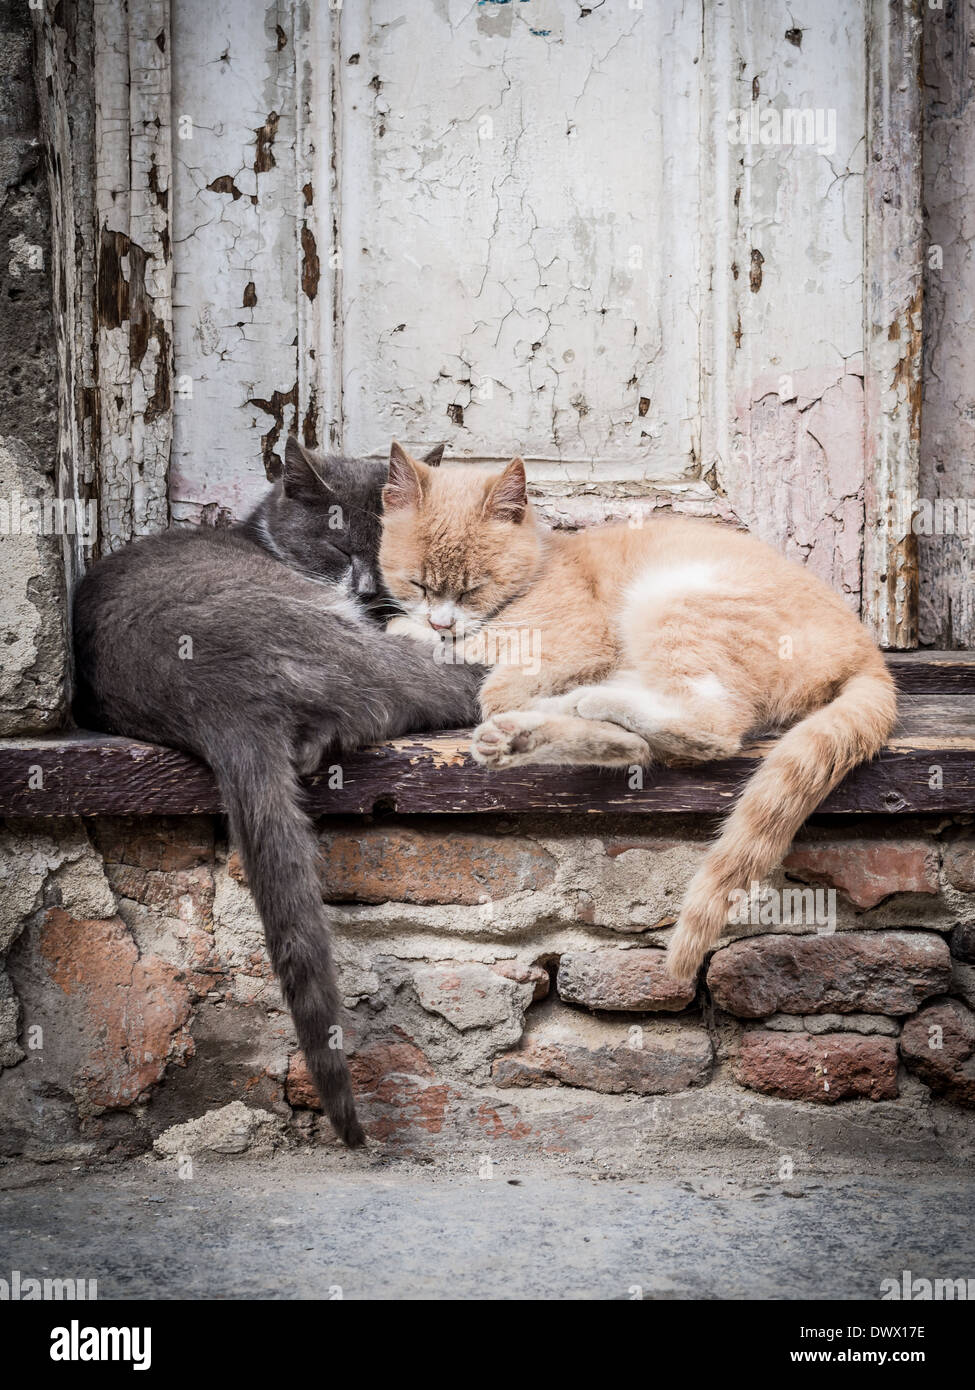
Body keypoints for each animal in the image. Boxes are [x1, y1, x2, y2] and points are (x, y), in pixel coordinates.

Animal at [378, 442, 895, 978]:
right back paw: (536, 732)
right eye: (417, 583)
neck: (541, 566)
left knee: (710, 727)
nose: (440, 621)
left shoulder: (577, 642)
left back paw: (575, 711)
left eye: (473, 588)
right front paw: (423, 632)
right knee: (648, 736)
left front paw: (438, 640)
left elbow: (491, 674)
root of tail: (869, 655)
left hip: (676, 602)